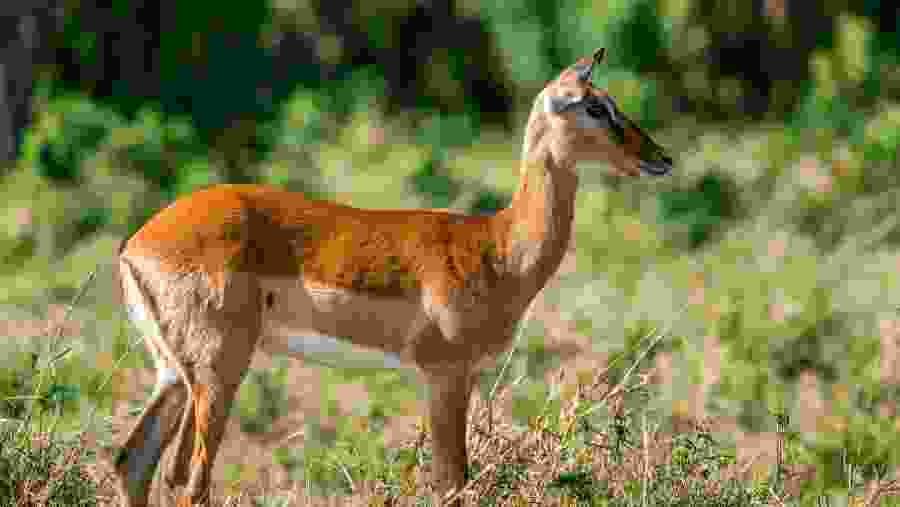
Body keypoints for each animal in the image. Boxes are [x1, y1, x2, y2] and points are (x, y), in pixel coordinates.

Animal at [107, 48, 673, 506]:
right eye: (595, 105)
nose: (660, 158)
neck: (498, 248)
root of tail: (138, 244)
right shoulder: (445, 372)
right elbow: (452, 482)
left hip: (172, 373)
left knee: (133, 462)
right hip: (218, 370)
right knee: (187, 478)